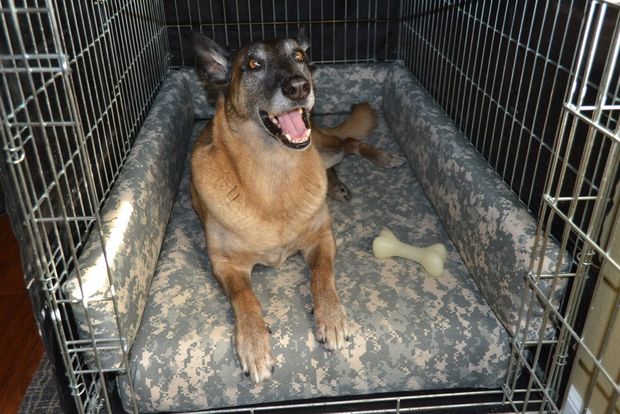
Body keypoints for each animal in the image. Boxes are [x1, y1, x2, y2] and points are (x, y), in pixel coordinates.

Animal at [190, 30, 402, 384]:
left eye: (299, 56)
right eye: (253, 64)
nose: (299, 87)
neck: (274, 177)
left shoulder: (322, 238)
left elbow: (322, 275)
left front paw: (331, 317)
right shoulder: (225, 265)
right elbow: (245, 298)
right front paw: (253, 344)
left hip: (323, 146)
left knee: (347, 143)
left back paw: (377, 160)